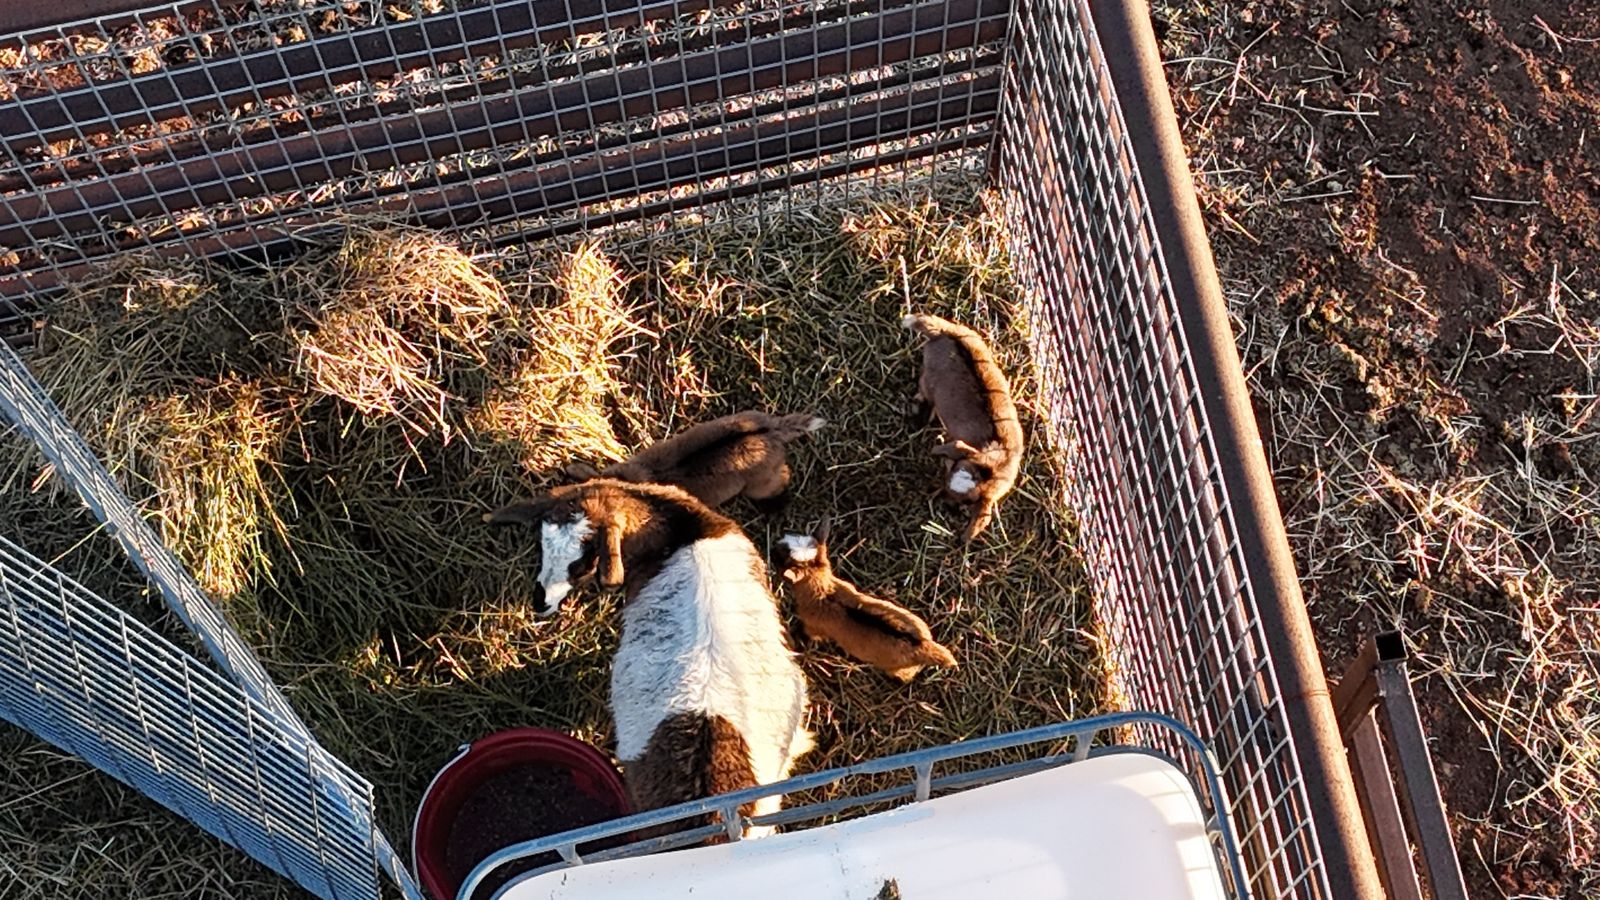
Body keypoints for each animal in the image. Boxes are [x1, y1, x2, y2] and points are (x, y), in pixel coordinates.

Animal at [778, 519, 957, 683]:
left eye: (782, 558)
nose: (776, 542)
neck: (822, 591)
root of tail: (924, 645)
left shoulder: (813, 627)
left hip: (896, 668)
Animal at [903, 313, 1024, 541]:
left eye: (967, 502)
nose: (945, 503)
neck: (997, 463)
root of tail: (947, 332)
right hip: (929, 381)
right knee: (924, 391)